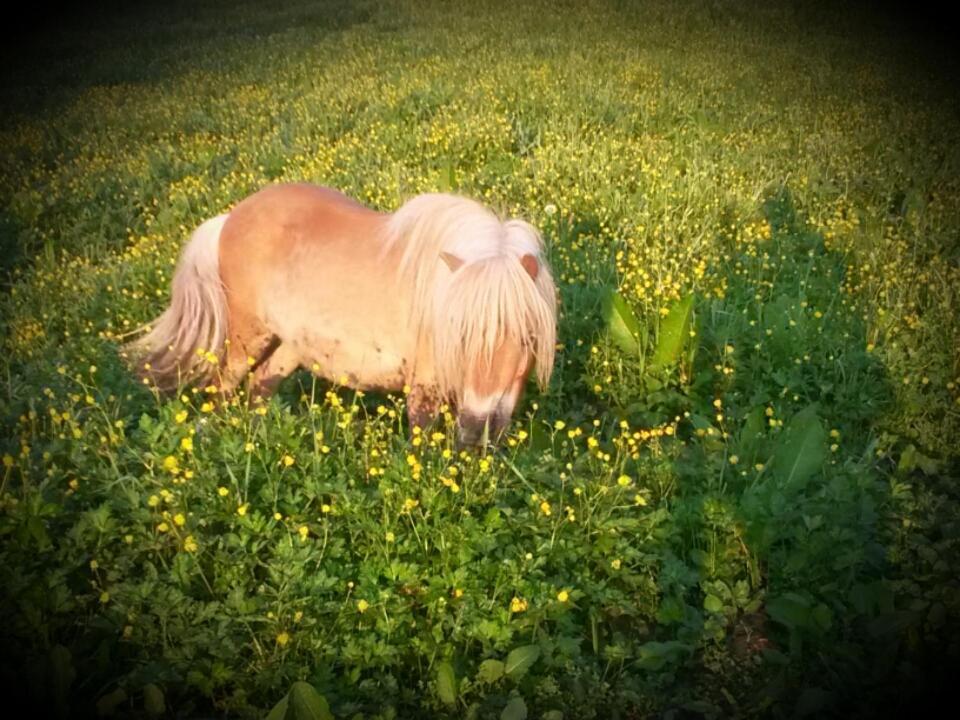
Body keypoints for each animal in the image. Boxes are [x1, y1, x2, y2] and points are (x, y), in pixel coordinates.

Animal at [128, 184, 564, 444]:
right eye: (461, 334)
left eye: (527, 337)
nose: (479, 429)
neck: (437, 294)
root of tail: (227, 219)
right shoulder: (427, 386)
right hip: (247, 339)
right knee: (221, 390)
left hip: (289, 348)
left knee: (260, 389)